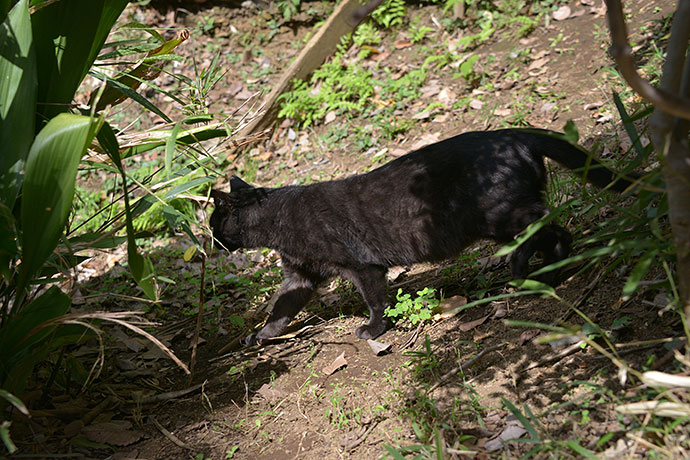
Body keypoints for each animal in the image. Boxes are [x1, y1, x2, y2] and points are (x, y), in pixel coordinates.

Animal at [211, 127, 636, 344]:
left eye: (215, 223)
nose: (213, 241)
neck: (280, 219)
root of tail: (516, 133)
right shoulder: (299, 277)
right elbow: (279, 310)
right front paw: (260, 336)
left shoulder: (361, 266)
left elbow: (375, 301)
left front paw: (373, 330)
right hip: (506, 217)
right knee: (555, 228)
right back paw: (551, 270)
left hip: (503, 216)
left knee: (546, 221)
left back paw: (523, 271)